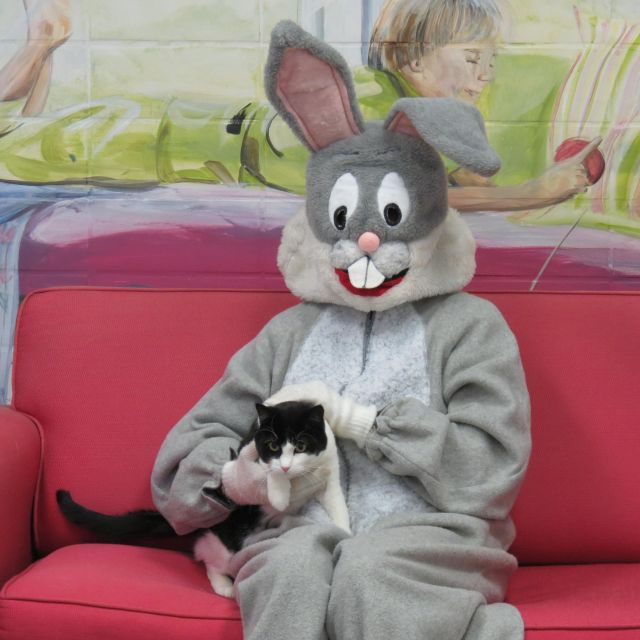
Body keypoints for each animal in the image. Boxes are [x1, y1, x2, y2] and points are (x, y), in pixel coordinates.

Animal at [58, 402, 350, 596]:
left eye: (301, 445)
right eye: (273, 446)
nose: (287, 467)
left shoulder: (329, 472)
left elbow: (337, 502)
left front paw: (345, 532)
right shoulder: (249, 452)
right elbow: (263, 471)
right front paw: (278, 492)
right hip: (228, 540)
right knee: (208, 556)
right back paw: (224, 585)